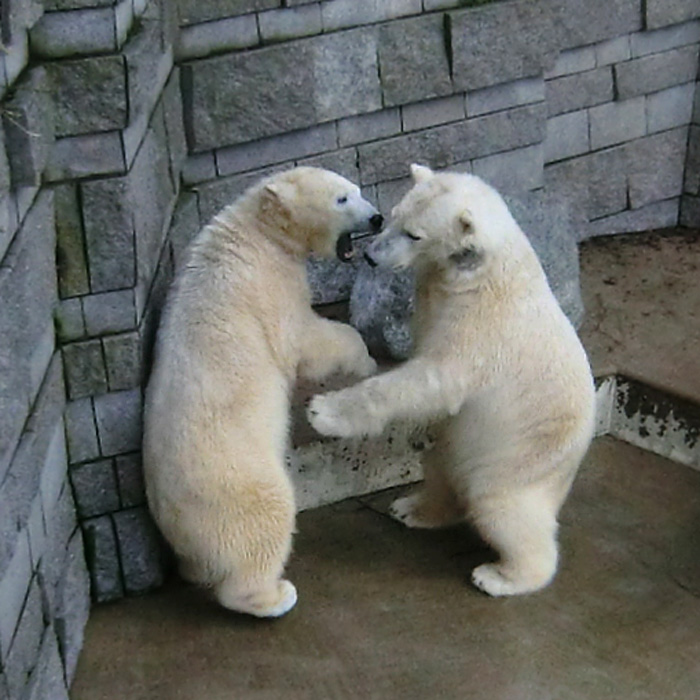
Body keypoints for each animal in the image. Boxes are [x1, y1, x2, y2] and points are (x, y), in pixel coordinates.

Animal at [144, 167, 382, 616]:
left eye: (357, 189)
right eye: (342, 198)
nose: (377, 217)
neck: (254, 228)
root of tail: (171, 517)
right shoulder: (270, 283)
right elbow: (306, 340)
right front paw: (365, 358)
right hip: (234, 482)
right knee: (265, 522)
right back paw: (274, 596)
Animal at [308, 164, 596, 596]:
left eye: (414, 234)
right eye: (392, 216)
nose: (371, 257)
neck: (478, 272)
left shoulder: (481, 329)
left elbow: (433, 380)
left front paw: (323, 412)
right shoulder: (436, 301)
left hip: (519, 459)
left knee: (502, 507)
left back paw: (501, 575)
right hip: (467, 449)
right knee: (443, 468)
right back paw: (413, 507)